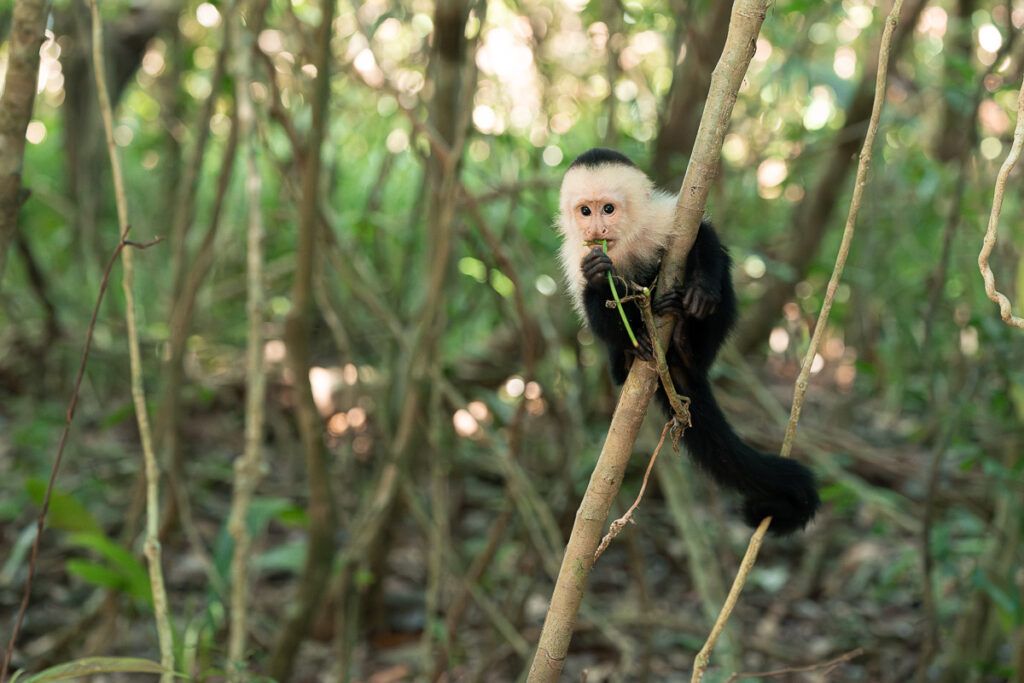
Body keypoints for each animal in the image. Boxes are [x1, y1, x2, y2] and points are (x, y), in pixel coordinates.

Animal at [556, 148, 820, 534]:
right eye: (585, 211)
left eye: (608, 208)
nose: (595, 230)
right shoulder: (575, 254)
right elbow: (593, 305)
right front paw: (600, 280)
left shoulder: (661, 219)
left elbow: (701, 235)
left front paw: (703, 288)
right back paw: (627, 358)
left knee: (717, 276)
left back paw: (685, 337)